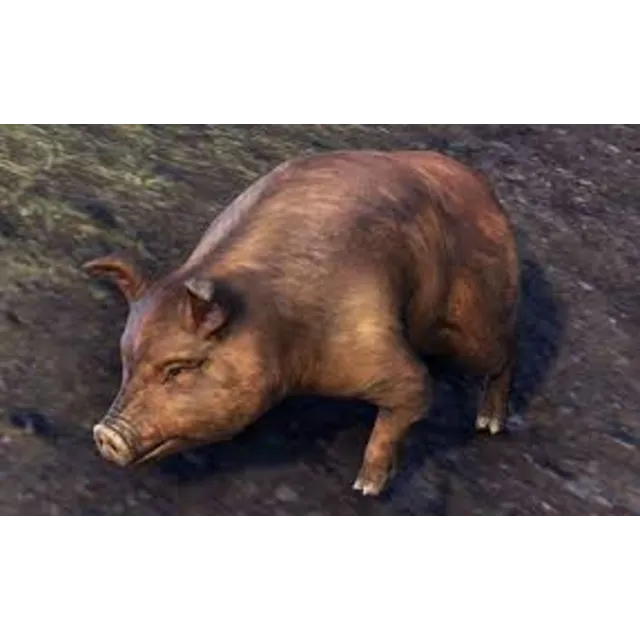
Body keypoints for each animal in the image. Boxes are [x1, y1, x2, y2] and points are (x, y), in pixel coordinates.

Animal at [83, 149, 520, 497]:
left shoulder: (371, 344)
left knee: (503, 355)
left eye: (179, 368)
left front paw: (365, 489)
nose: (105, 435)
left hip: (474, 317)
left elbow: (415, 392)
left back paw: (489, 424)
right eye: (127, 363)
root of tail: (483, 188)